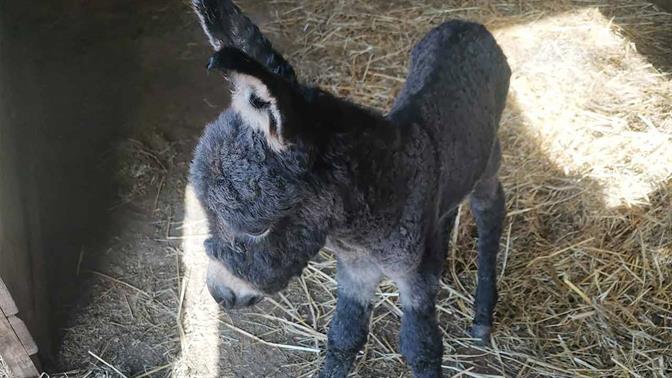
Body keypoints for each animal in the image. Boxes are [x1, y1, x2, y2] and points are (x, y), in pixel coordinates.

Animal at [189, 1, 510, 376]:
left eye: (257, 229)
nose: (219, 294)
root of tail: (466, 23)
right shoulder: (355, 274)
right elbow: (343, 337)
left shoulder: (411, 281)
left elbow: (421, 349)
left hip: (488, 163)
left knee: (491, 212)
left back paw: (482, 314)